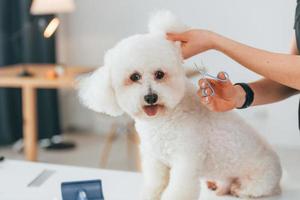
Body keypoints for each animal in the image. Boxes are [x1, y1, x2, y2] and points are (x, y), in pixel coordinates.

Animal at [77, 11, 282, 200]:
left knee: (253, 188)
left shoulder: (186, 161)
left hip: (259, 179)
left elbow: (178, 190)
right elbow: (154, 184)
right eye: (134, 77)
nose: (151, 97)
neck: (164, 119)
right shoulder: (155, 160)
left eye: (159, 74)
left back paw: (240, 190)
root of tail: (279, 175)